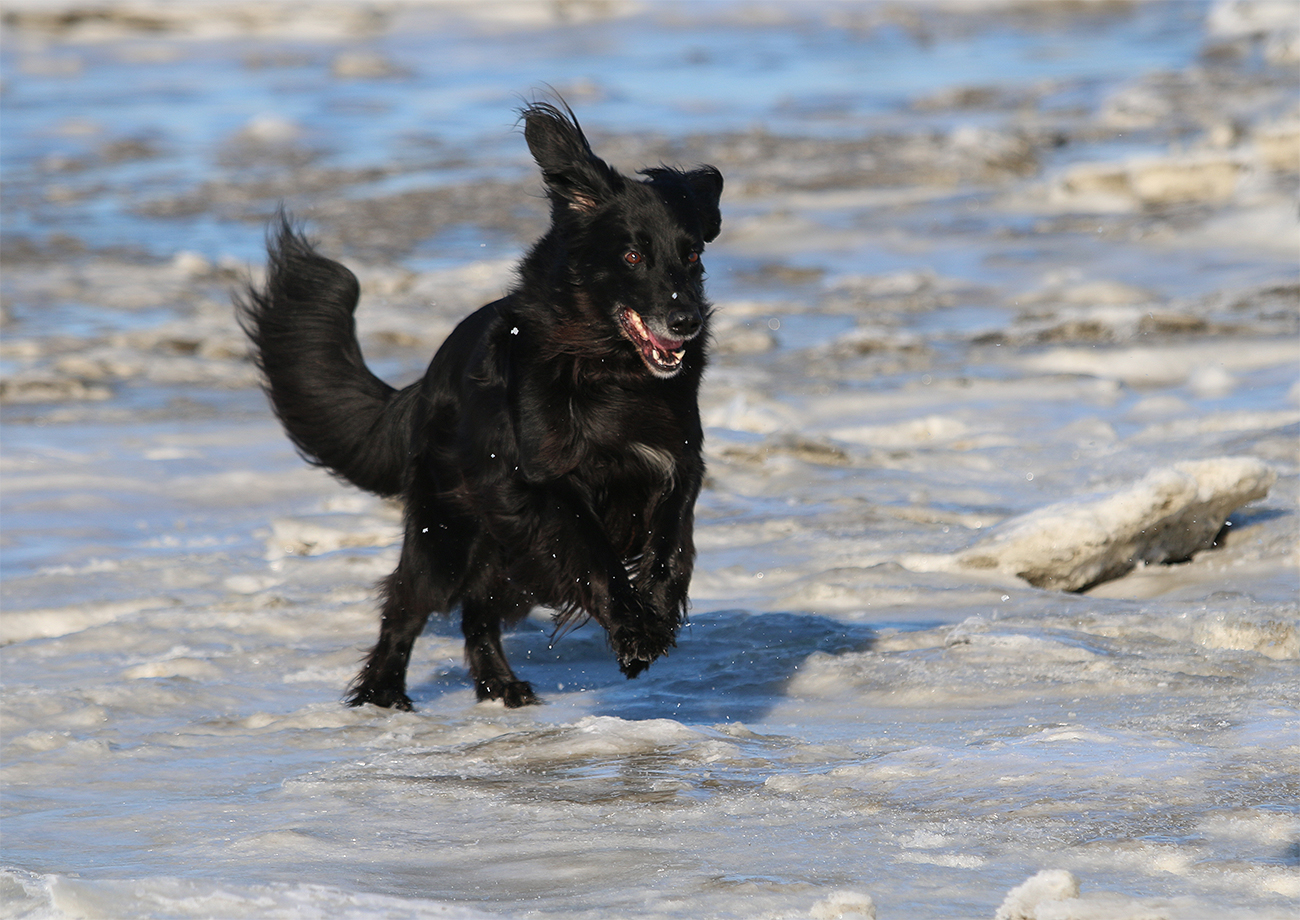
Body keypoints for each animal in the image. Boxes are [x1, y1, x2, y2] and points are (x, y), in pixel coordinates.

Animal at [237, 101, 723, 710]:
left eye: (692, 254)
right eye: (633, 255)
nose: (686, 321)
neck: (612, 373)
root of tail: (423, 386)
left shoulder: (676, 463)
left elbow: (672, 548)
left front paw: (654, 615)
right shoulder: (544, 482)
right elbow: (597, 553)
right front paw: (633, 630)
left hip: (507, 556)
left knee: (478, 611)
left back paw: (499, 685)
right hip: (449, 531)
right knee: (407, 604)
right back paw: (382, 693)